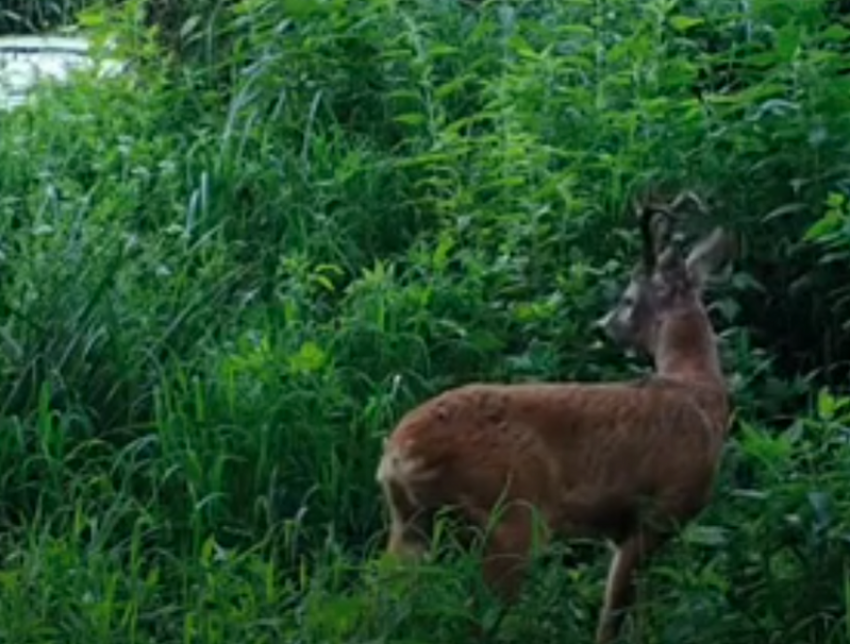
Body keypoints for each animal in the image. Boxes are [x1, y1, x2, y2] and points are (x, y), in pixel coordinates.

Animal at [374, 192, 732, 644]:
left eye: (628, 298)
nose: (604, 325)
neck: (699, 392)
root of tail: (397, 454)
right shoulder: (652, 514)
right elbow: (611, 621)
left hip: (410, 525)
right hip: (510, 518)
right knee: (481, 620)